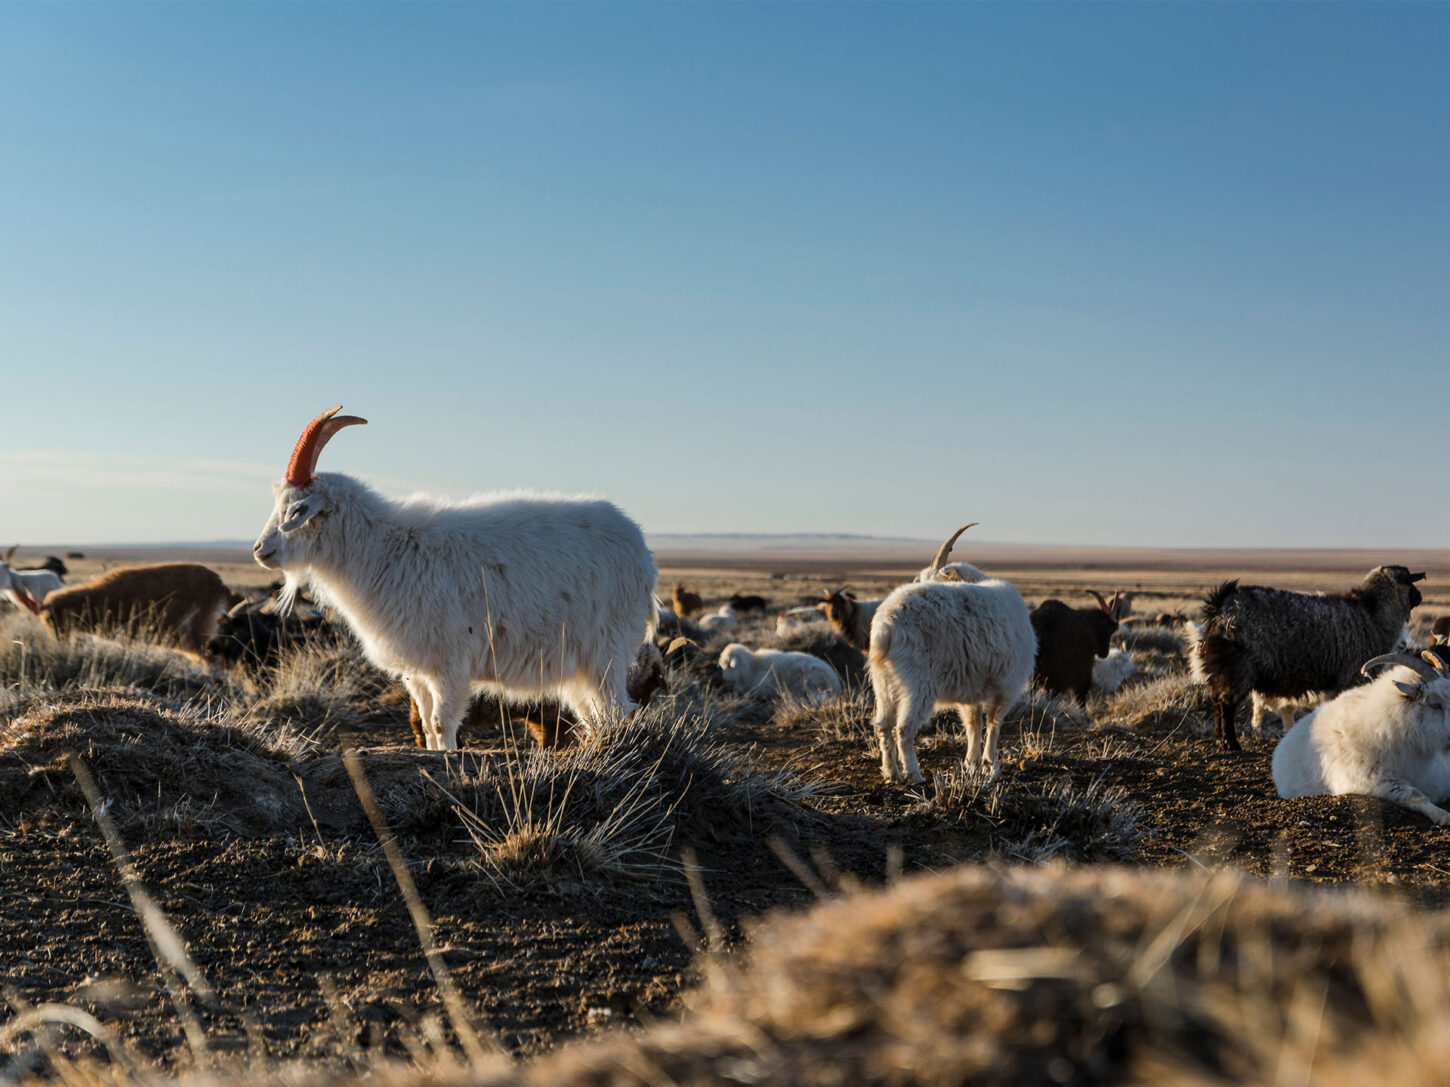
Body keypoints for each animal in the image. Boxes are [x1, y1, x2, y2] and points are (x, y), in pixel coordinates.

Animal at [250, 405, 658, 753]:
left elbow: (442, 722)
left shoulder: (451, 663)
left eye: (297, 509)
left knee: (617, 709)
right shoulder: (418, 672)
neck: (386, 550)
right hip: (579, 669)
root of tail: (642, 551)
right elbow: (428, 725)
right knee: (596, 714)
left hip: (605, 654)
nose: (259, 550)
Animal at [864, 524, 1038, 788]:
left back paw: (892, 773)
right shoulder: (1006, 687)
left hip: (884, 683)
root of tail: (887, 625)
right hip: (918, 683)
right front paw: (991, 765)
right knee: (904, 728)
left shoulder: (972, 690)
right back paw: (914, 775)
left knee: (884, 725)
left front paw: (972, 764)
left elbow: (974, 723)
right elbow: (994, 724)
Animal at [1194, 565, 1421, 753]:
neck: (1372, 614)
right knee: (1225, 704)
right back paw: (1230, 743)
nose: (1419, 596)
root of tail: (1220, 605)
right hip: (1236, 667)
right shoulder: (1352, 675)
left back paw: (1219, 739)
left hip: (1221, 670)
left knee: (1216, 700)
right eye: (1410, 581)